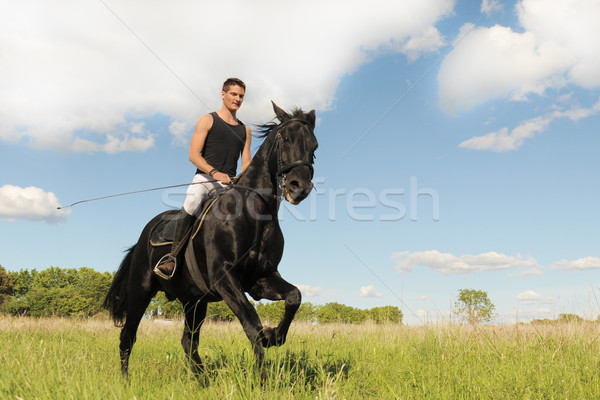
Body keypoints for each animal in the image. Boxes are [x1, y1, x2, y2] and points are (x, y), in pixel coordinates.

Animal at [103, 101, 318, 376]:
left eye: (314, 147)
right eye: (287, 138)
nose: (299, 187)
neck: (254, 213)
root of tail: (145, 233)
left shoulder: (260, 279)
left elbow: (294, 297)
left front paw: (274, 336)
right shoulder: (224, 277)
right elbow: (252, 322)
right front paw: (261, 377)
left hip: (194, 301)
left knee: (188, 341)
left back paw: (203, 379)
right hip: (141, 290)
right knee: (128, 337)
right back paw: (126, 380)